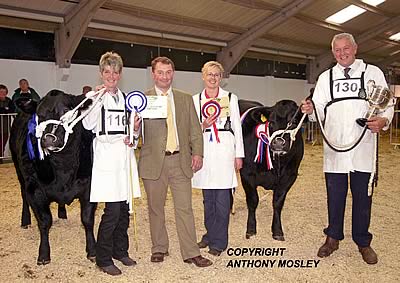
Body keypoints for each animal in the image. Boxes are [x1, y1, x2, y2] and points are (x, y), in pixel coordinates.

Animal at [9, 90, 96, 266]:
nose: (49, 138)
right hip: (19, 170)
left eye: (66, 111)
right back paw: (25, 221)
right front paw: (43, 254)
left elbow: (87, 219)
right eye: (39, 115)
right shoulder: (35, 189)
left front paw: (92, 250)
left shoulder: (89, 187)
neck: (64, 168)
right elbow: (44, 221)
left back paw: (62, 213)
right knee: (23, 196)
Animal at [239, 99, 304, 242]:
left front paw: (277, 230)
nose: (278, 143)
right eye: (272, 122)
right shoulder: (246, 174)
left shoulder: (289, 176)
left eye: (294, 122)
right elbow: (253, 200)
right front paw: (251, 228)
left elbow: (278, 203)